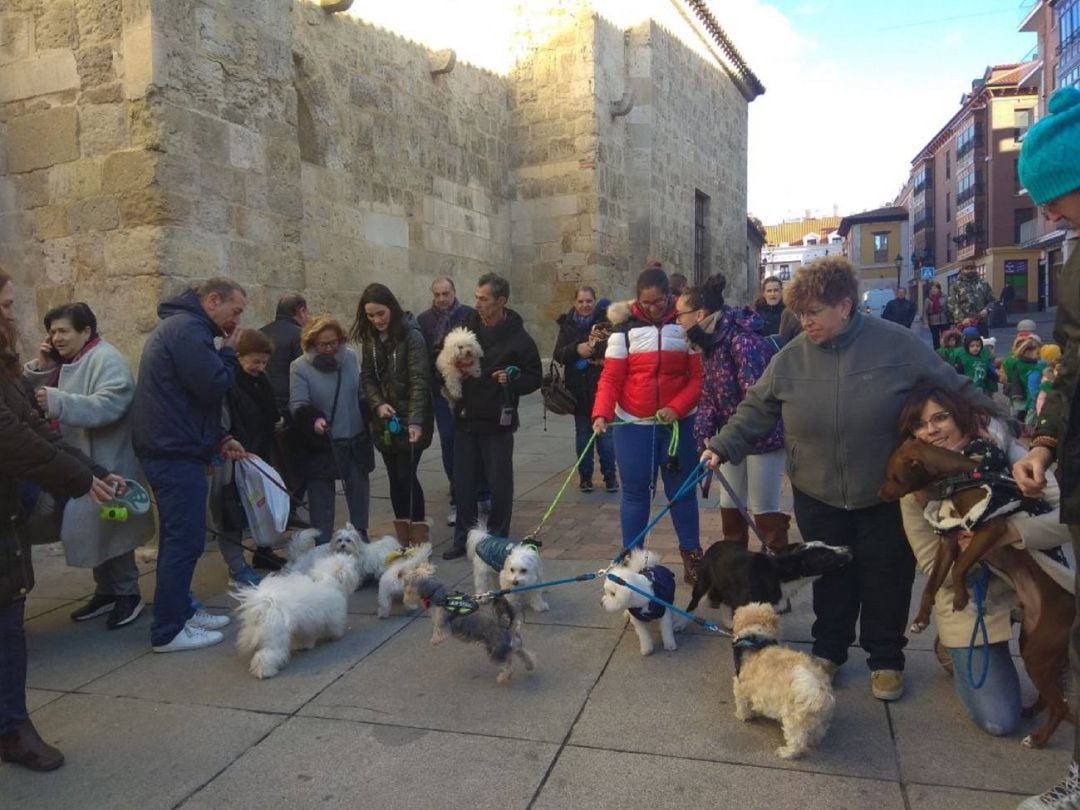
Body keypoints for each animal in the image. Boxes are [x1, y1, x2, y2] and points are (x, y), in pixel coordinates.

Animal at [691, 542, 851, 630]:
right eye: (824, 555)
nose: (849, 548)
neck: (779, 575)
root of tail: (716, 544)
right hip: (704, 580)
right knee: (694, 602)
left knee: (725, 602)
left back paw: (729, 622)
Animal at [730, 604, 838, 760]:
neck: (758, 639)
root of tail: (816, 689)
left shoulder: (741, 687)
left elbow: (743, 704)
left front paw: (743, 716)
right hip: (819, 719)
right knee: (817, 732)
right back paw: (813, 741)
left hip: (793, 720)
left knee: (797, 741)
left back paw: (787, 752)